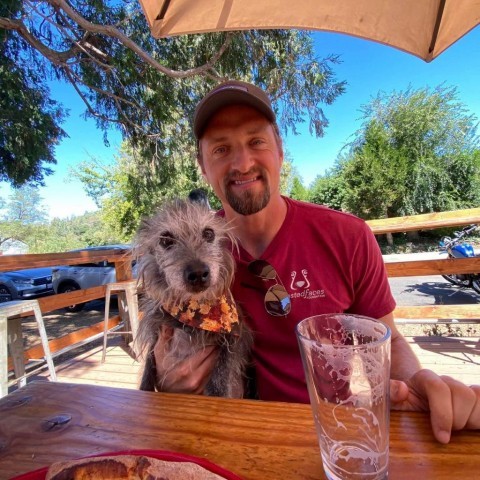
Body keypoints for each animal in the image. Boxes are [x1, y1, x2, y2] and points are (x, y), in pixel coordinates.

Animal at [133, 196, 253, 398]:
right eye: (166, 240)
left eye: (209, 233)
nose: (197, 273)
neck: (194, 311)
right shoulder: (156, 334)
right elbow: (148, 367)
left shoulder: (235, 337)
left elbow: (221, 374)